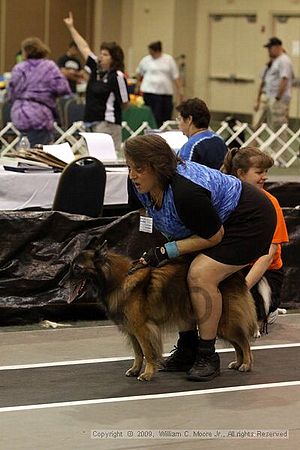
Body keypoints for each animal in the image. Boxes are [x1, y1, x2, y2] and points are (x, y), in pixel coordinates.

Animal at [69, 244, 256, 382]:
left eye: (77, 268)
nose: (64, 281)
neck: (120, 280)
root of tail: (235, 275)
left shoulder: (142, 329)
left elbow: (147, 352)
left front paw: (147, 373)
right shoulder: (132, 330)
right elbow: (138, 353)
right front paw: (135, 370)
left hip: (221, 323)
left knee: (243, 341)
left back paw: (246, 364)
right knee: (238, 343)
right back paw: (238, 363)